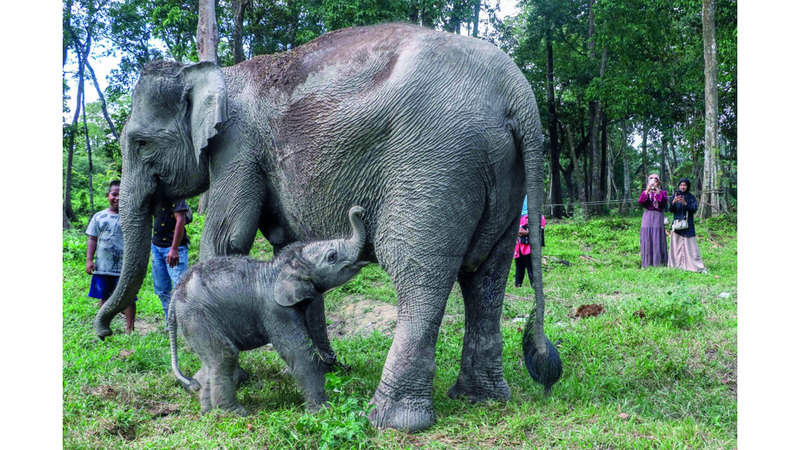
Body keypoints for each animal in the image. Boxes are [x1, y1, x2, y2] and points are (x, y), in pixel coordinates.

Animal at [169, 206, 368, 415]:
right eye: (332, 256)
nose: (359, 210)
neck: (282, 266)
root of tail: (175, 295)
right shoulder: (276, 310)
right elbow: (299, 352)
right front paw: (322, 411)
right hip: (197, 317)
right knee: (225, 356)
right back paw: (235, 414)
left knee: (210, 362)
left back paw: (209, 412)